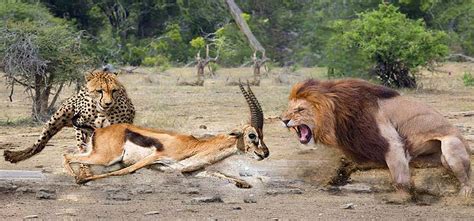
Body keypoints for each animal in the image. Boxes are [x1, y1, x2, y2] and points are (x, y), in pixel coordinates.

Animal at [4, 68, 135, 163]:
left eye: (114, 91)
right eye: (99, 91)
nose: (108, 103)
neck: (101, 111)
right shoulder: (80, 123)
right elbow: (84, 141)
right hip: (57, 118)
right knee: (39, 144)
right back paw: (14, 155)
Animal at [63, 82, 268, 187]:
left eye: (262, 134)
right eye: (252, 135)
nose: (265, 153)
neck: (195, 146)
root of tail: (99, 130)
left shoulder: (188, 171)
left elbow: (218, 174)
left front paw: (243, 183)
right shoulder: (155, 157)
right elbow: (126, 171)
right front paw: (82, 180)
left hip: (98, 156)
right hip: (105, 158)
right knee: (67, 155)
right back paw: (77, 177)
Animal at [282, 79, 470, 199]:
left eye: (300, 110)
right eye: (288, 109)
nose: (283, 120)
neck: (338, 115)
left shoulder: (391, 142)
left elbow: (400, 178)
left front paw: (401, 198)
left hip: (451, 145)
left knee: (466, 176)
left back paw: (465, 193)